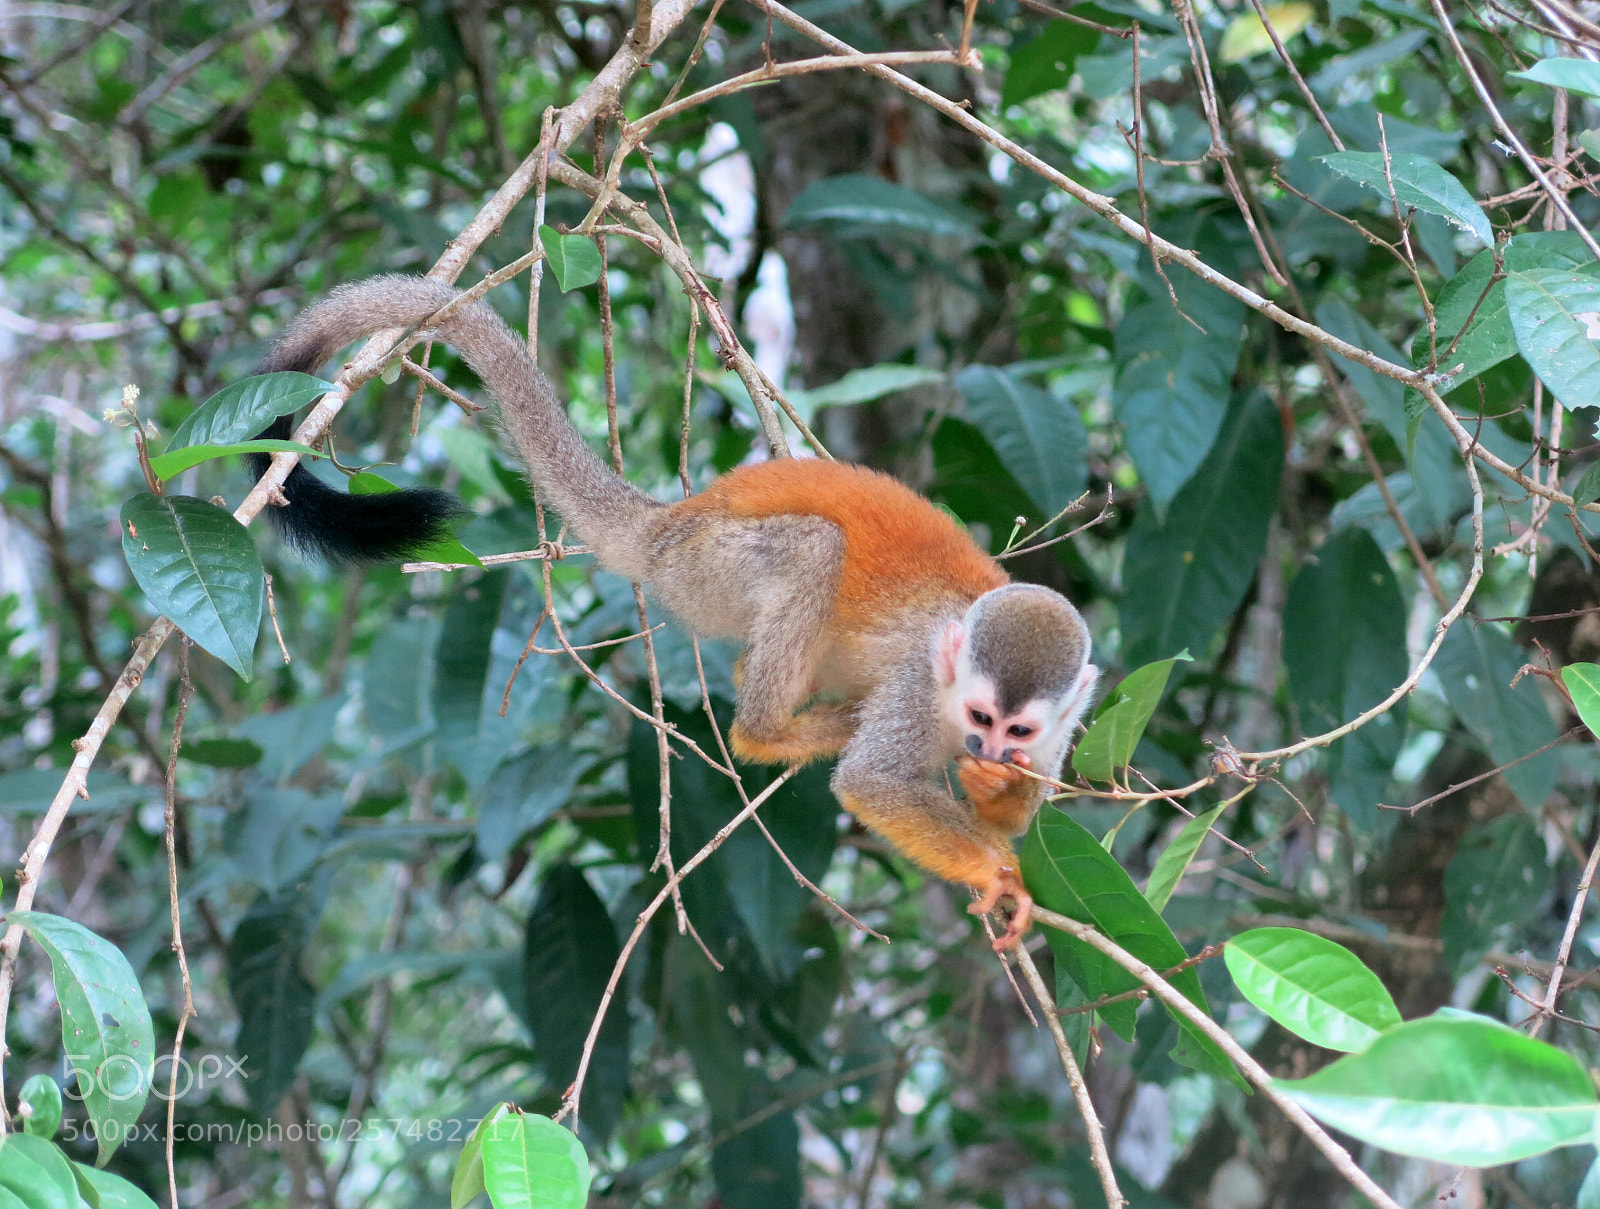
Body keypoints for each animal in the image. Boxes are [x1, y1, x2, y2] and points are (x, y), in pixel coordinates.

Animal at [245, 277, 1100, 950]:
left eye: (1018, 729)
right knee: (813, 550)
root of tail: (671, 520)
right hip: (709, 564)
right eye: (980, 714)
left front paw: (998, 798)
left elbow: (1023, 805)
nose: (988, 746)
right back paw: (772, 730)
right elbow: (872, 784)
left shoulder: (1065, 729)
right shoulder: (921, 687)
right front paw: (998, 869)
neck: (953, 703)